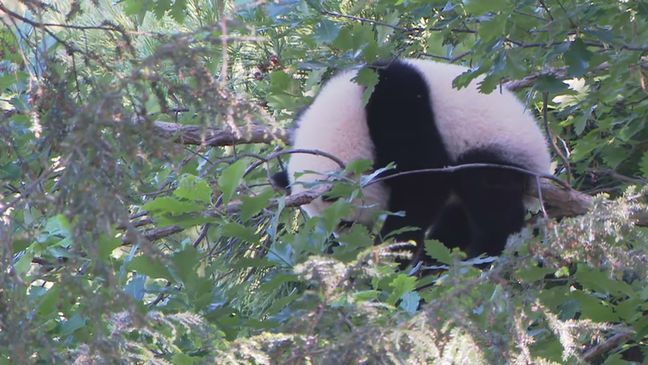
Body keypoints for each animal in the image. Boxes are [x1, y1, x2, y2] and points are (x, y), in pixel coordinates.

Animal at [276, 59, 548, 264]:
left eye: (345, 222)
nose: (347, 245)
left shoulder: (397, 105)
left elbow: (424, 182)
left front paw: (389, 251)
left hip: (499, 149)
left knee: (489, 198)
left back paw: (479, 255)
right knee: (455, 223)